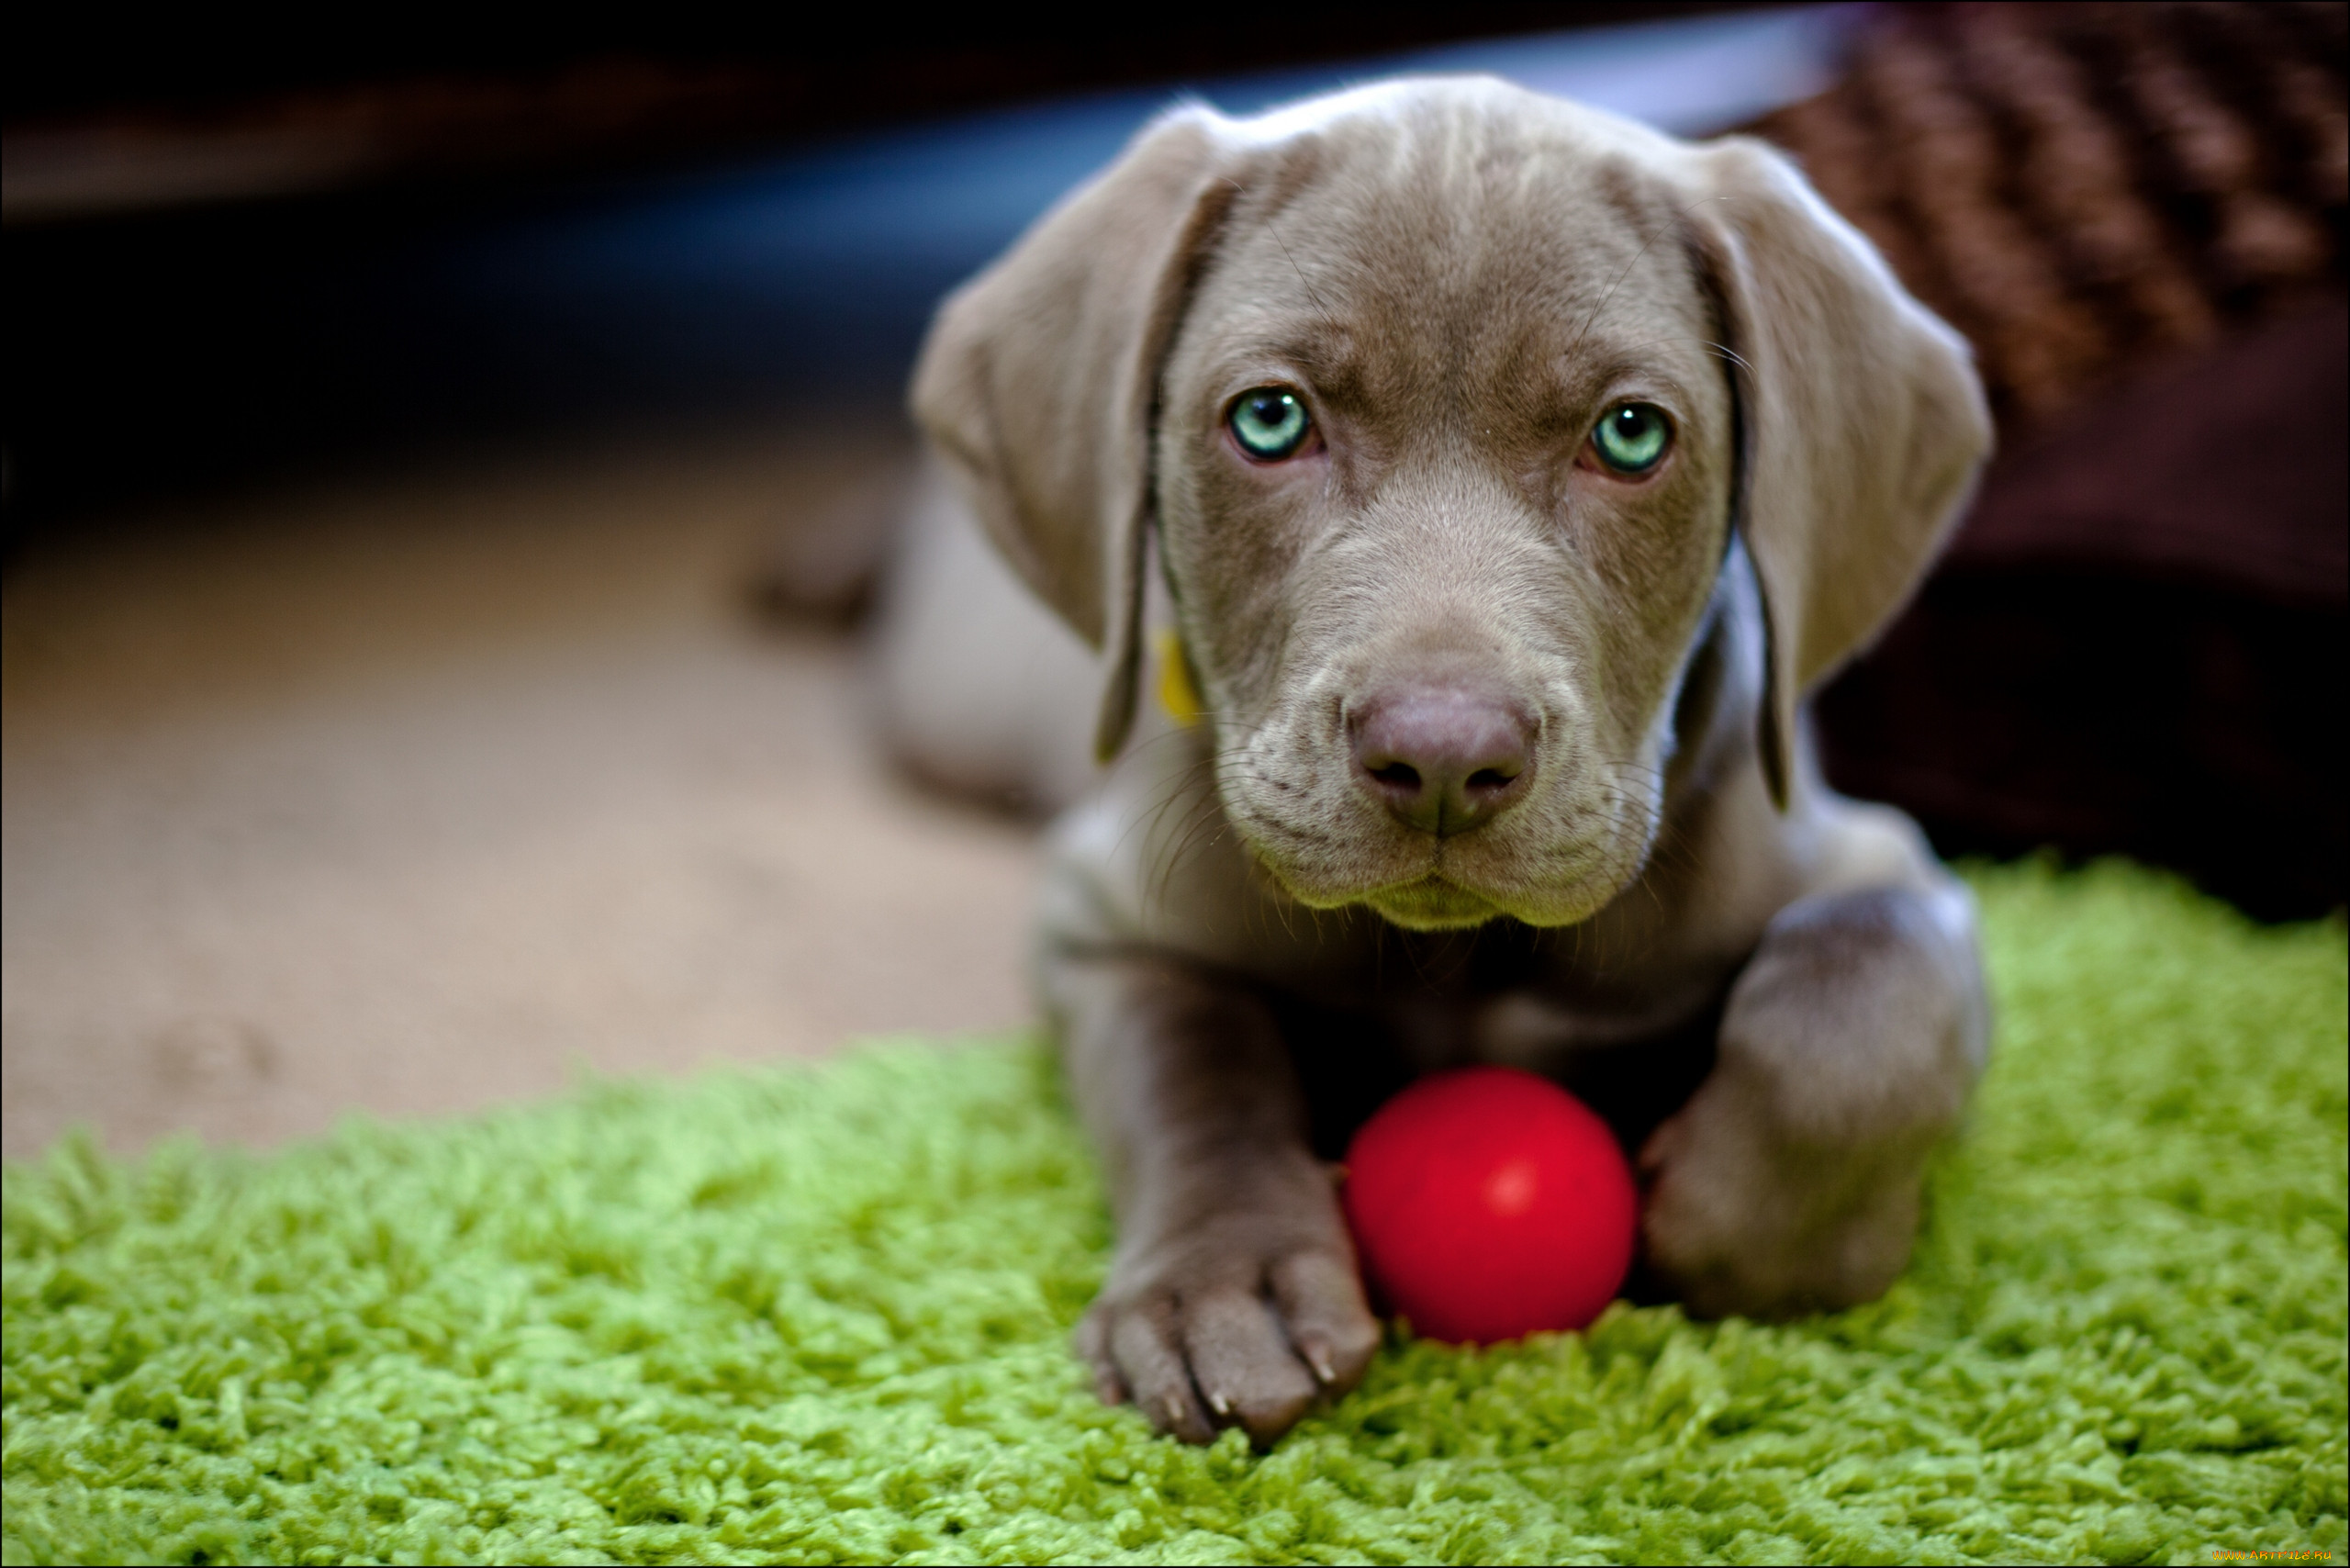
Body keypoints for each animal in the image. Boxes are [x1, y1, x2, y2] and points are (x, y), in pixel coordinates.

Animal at [888, 73, 1992, 1448]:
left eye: (1632, 435)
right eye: (1270, 419)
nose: (1445, 760)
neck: (1463, 956)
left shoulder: (1880, 864)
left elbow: (1856, 1010)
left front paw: (1749, 1229)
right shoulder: (1101, 923)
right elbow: (1191, 1059)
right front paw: (1222, 1290)